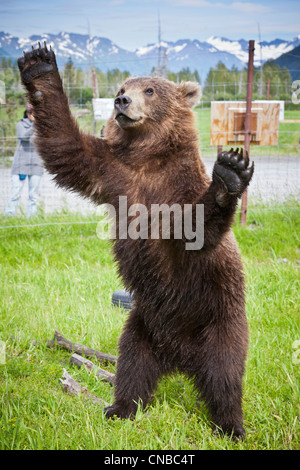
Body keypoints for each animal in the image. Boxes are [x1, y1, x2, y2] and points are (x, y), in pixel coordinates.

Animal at [18, 43, 253, 440]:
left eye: (151, 89)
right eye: (123, 85)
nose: (121, 100)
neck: (148, 157)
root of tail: (180, 359)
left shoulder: (177, 190)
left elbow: (197, 232)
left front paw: (230, 174)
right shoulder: (114, 172)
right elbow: (66, 147)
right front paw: (39, 64)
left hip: (219, 320)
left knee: (224, 375)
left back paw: (230, 425)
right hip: (142, 325)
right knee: (132, 366)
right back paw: (120, 408)